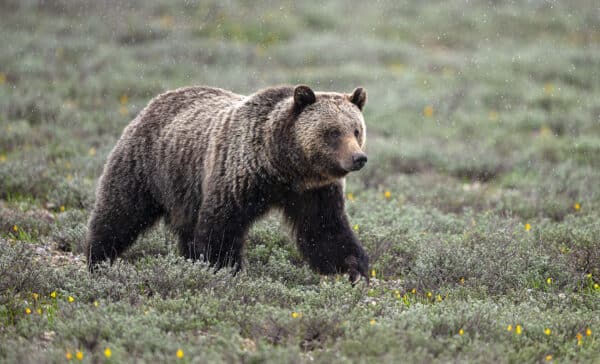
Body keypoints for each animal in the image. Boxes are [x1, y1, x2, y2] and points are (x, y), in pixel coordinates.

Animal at [88, 85, 370, 284]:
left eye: (356, 130)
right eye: (333, 132)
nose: (358, 158)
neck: (283, 168)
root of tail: (155, 101)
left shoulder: (314, 191)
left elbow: (325, 231)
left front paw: (354, 270)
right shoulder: (238, 175)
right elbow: (221, 226)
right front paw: (225, 268)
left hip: (184, 190)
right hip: (145, 167)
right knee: (120, 212)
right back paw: (97, 259)